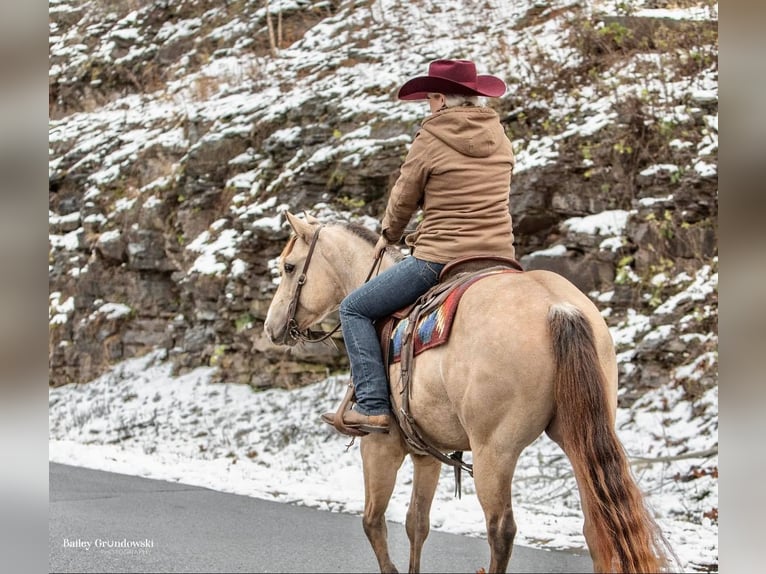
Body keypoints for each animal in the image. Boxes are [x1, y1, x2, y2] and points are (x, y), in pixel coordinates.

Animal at [264, 214, 672, 574]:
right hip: (577, 436)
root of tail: (556, 306)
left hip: (494, 450)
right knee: (597, 526)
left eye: (289, 267)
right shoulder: (426, 453)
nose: (271, 327)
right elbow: (417, 523)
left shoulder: (380, 445)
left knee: (501, 530)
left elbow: (373, 521)